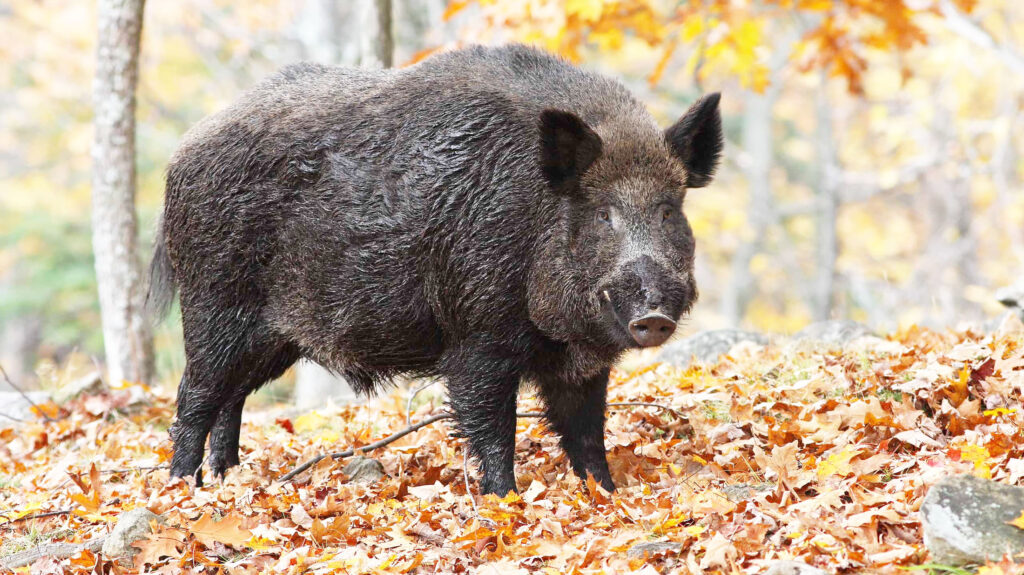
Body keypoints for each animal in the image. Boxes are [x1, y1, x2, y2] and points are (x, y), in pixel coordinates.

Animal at [148, 44, 722, 495]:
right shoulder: (477, 338)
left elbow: (586, 432)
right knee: (195, 394)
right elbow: (492, 427)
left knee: (231, 397)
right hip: (213, 302)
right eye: (603, 213)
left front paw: (605, 494)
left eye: (669, 210)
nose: (653, 315)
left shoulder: (579, 364)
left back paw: (226, 477)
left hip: (272, 338)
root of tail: (180, 154)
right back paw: (183, 488)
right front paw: (503, 501)